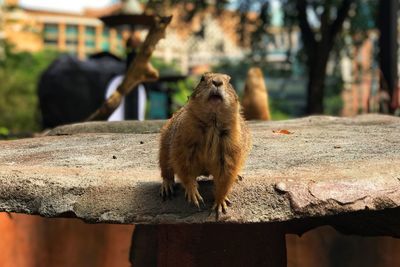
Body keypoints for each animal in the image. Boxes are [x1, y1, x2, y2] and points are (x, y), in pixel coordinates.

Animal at [159, 73, 250, 218]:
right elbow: (184, 166)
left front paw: (220, 203)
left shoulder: (231, 146)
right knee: (166, 168)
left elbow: (226, 173)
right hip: (163, 146)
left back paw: (238, 177)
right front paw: (194, 195)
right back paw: (167, 186)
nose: (217, 82)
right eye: (202, 78)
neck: (212, 121)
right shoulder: (183, 139)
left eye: (229, 81)